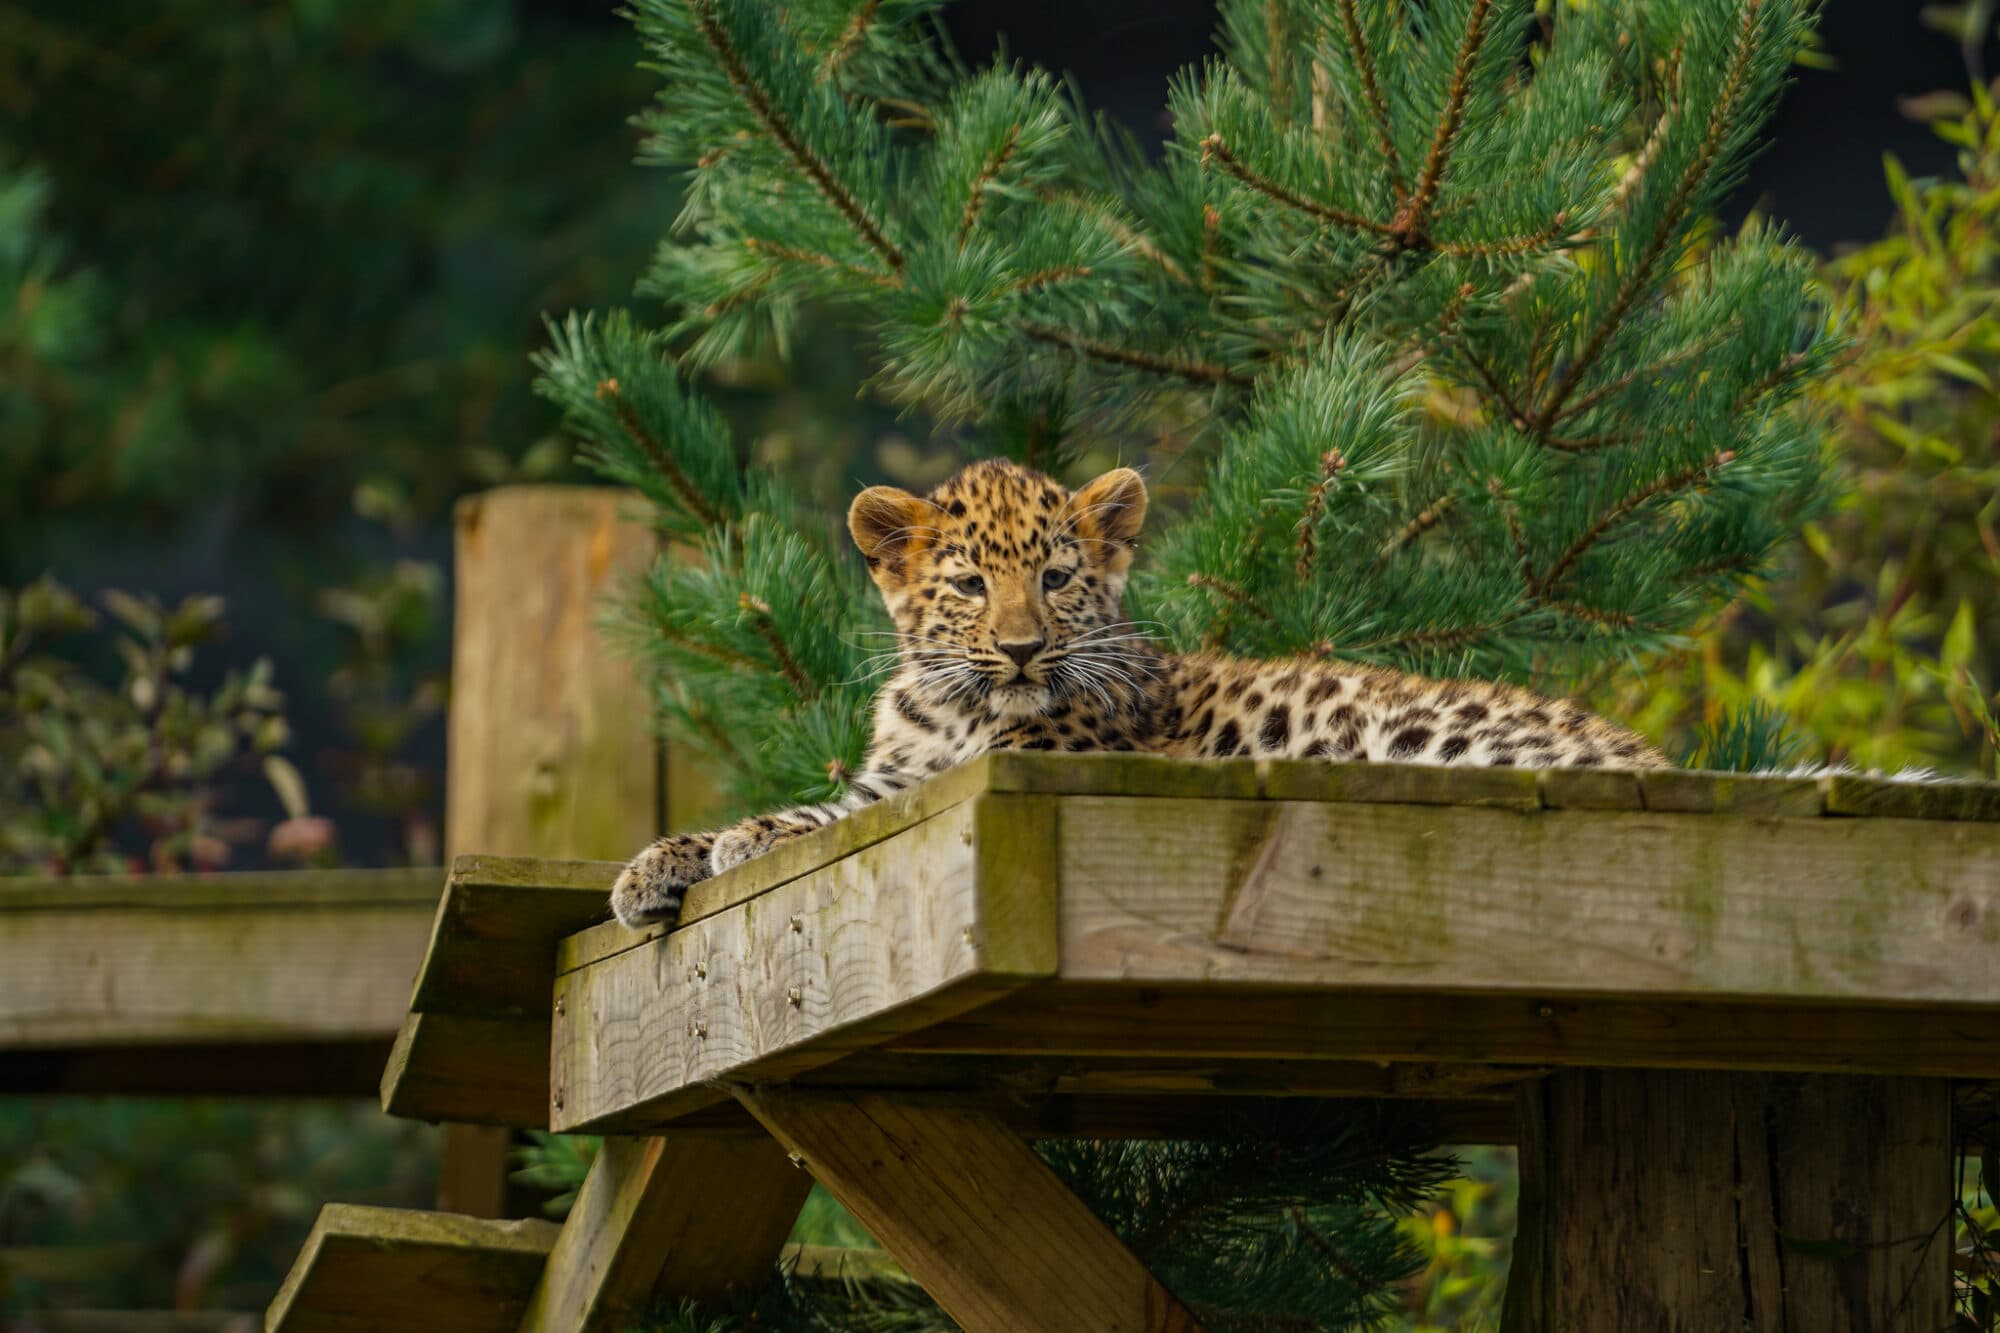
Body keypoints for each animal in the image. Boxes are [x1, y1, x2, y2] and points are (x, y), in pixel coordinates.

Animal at [610, 458, 1667, 927]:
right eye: (971, 586)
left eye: (1056, 578)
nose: (1023, 648)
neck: (955, 708)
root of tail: (1652, 755)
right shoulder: (906, 771)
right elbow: (832, 804)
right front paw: (659, 862)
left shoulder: (997, 771)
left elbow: (836, 817)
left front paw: (743, 841)